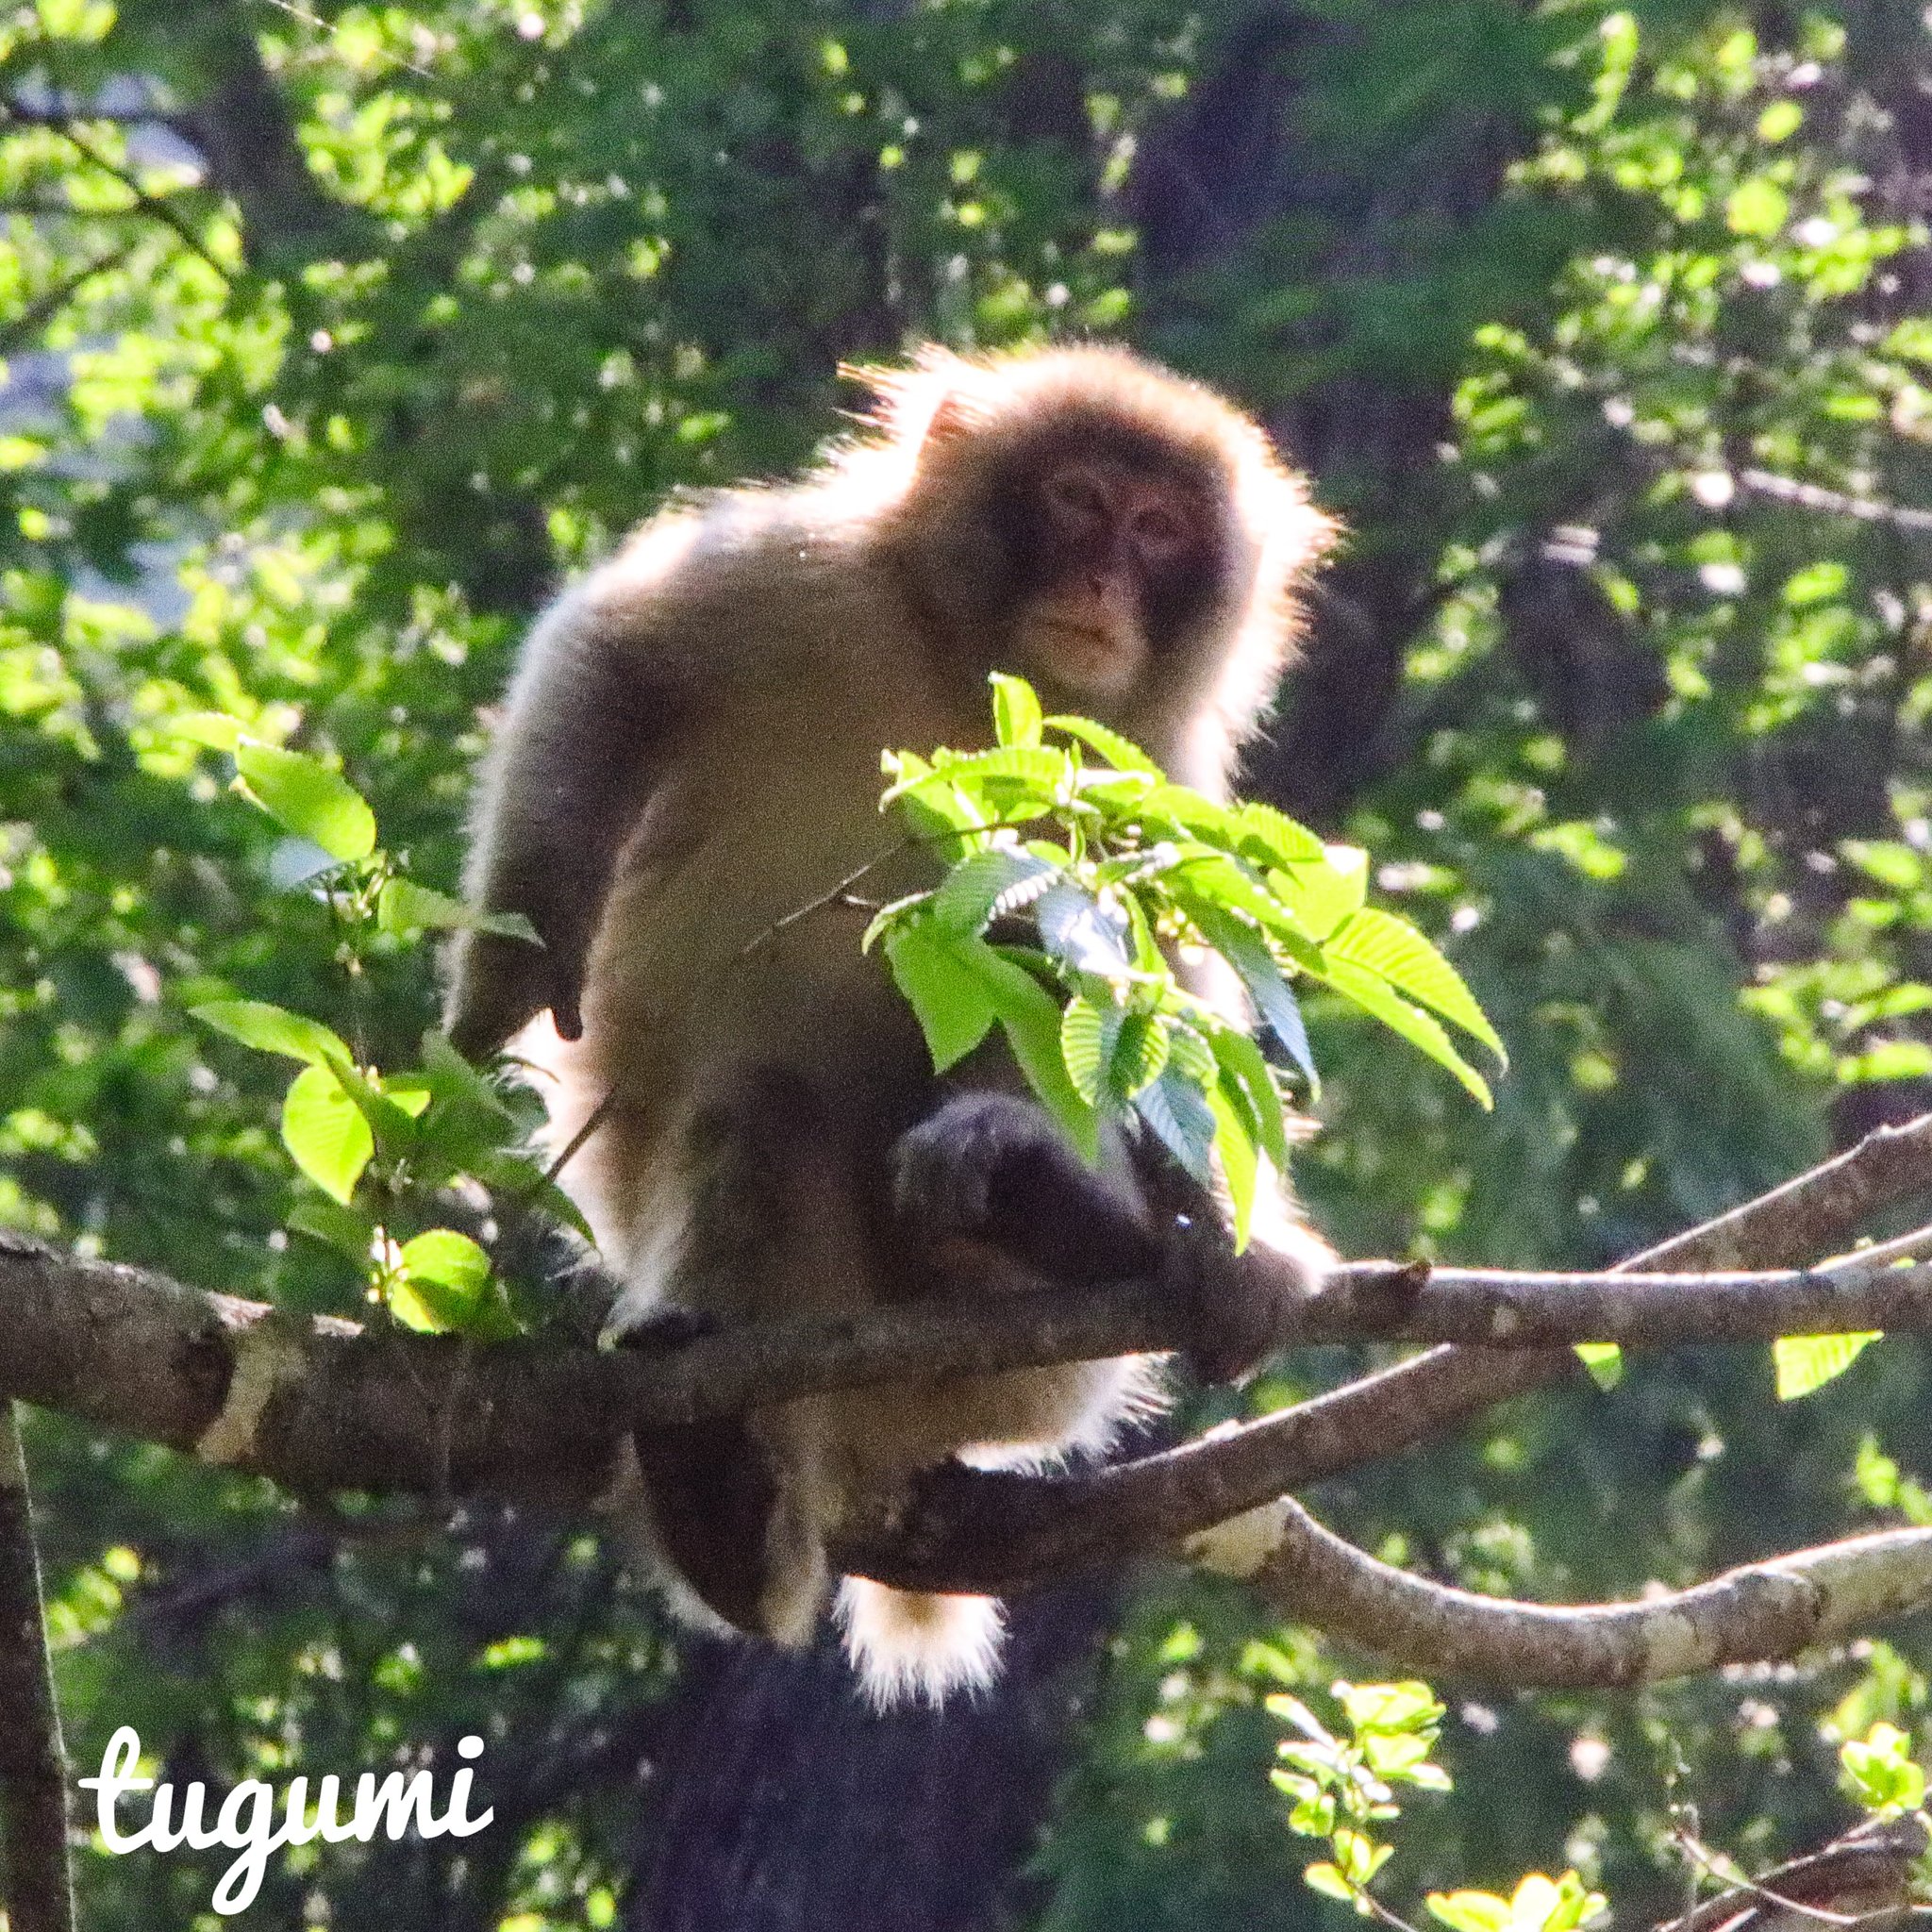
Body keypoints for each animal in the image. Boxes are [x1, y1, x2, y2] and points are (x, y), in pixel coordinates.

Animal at [445, 343, 1338, 1705]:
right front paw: (522, 951)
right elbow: (612, 654)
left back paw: (1050, 1206)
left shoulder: (1140, 759)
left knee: (1036, 942)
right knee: (758, 1109)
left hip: (1034, 1385)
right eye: (1078, 500)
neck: (972, 676)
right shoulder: (809, 574)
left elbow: (1168, 971)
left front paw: (1245, 1247)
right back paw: (726, 1504)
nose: (1100, 581)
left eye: (1158, 531)